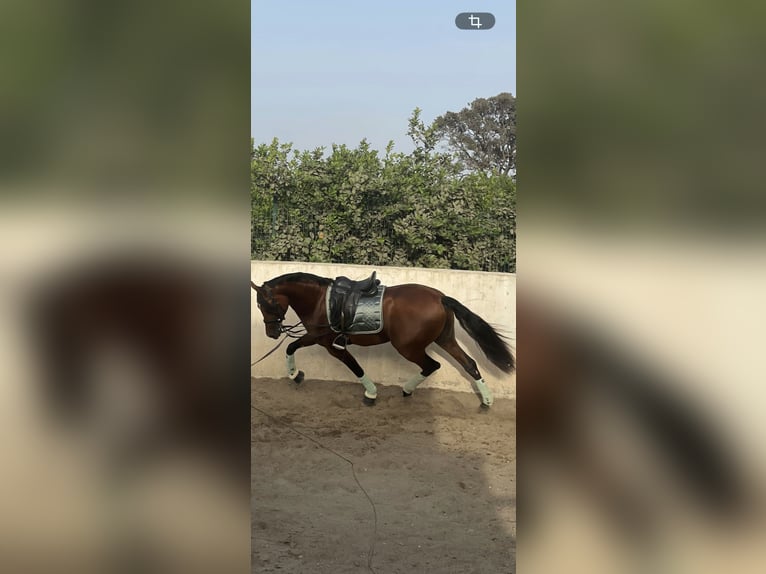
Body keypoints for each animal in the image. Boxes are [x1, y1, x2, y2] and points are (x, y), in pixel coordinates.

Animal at [251, 272, 514, 407]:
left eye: (264, 304)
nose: (272, 332)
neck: (320, 300)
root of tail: (440, 297)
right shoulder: (317, 337)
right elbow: (291, 346)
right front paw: (295, 375)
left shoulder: (330, 344)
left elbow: (355, 367)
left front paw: (371, 393)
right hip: (445, 338)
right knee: (469, 363)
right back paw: (487, 399)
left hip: (407, 346)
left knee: (432, 365)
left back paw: (407, 389)